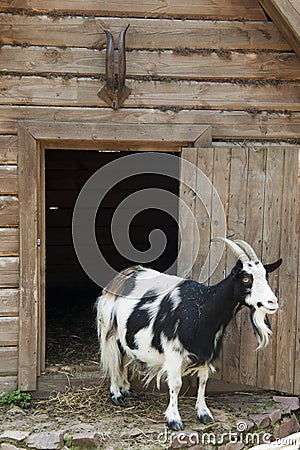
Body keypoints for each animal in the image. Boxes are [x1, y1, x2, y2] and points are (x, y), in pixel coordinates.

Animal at [96, 239, 282, 432]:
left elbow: (203, 381)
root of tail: (119, 278)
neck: (202, 308)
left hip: (125, 336)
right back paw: (116, 395)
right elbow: (176, 384)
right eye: (246, 278)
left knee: (124, 358)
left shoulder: (206, 351)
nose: (272, 302)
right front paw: (174, 420)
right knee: (114, 360)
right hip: (110, 330)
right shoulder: (173, 351)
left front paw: (204, 413)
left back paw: (126, 389)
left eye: (266, 277)